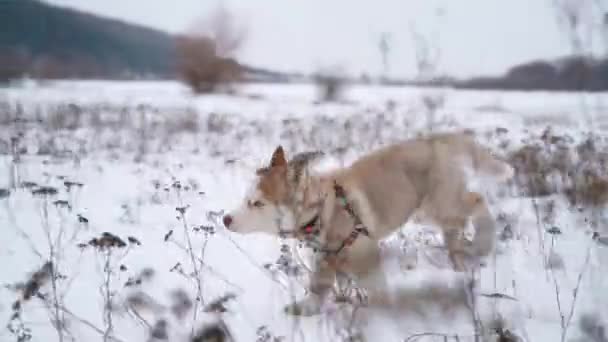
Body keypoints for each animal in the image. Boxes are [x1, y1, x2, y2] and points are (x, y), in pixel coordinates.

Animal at [223, 130, 512, 316]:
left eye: (257, 203)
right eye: (246, 199)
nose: (226, 219)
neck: (323, 210)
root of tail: (437, 139)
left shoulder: (366, 254)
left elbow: (377, 289)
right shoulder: (325, 258)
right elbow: (319, 285)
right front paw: (308, 309)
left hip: (438, 205)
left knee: (475, 201)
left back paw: (481, 243)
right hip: (431, 210)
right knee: (458, 224)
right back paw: (458, 259)